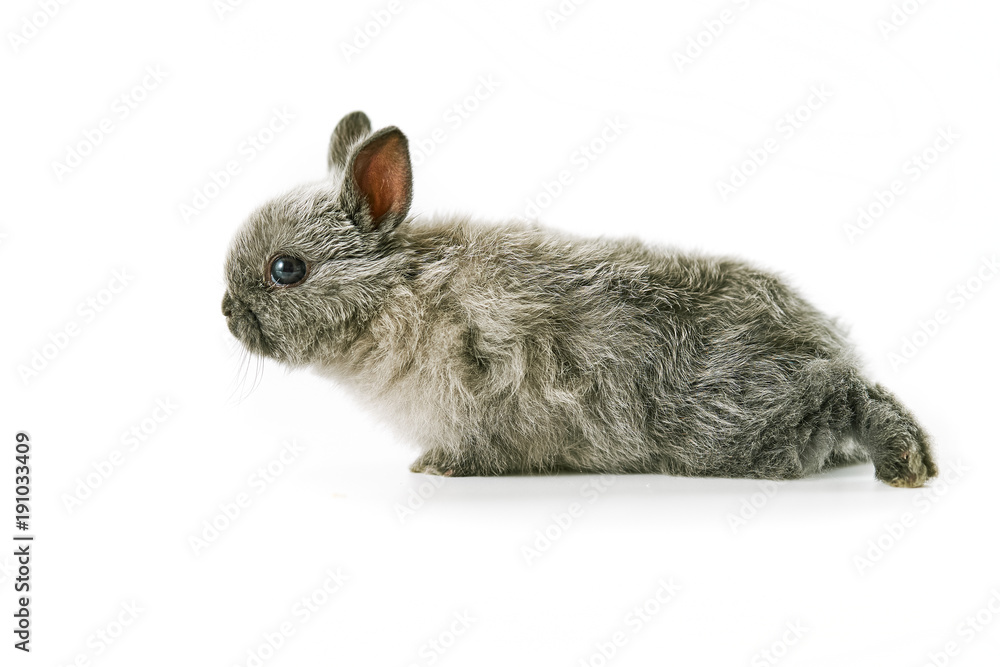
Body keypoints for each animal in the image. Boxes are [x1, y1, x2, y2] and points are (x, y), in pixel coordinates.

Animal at [222, 110, 936, 488]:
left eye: (286, 269)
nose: (226, 313)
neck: (398, 292)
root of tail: (823, 341)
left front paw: (437, 468)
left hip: (746, 424)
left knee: (854, 395)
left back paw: (905, 462)